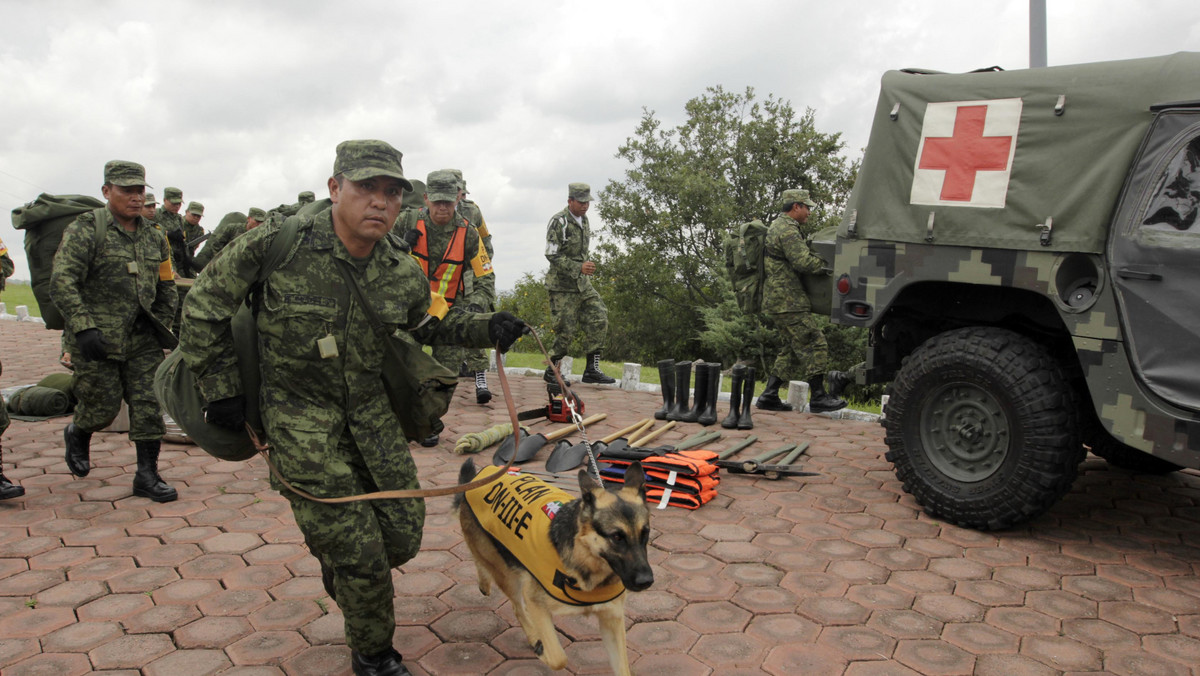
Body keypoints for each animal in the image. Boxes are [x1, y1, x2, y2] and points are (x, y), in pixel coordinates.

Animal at [453, 458, 657, 672]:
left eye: (645, 533)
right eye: (617, 537)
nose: (646, 581)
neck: (584, 560)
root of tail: (478, 478)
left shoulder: (612, 620)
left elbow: (623, 668)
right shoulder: (535, 602)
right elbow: (558, 658)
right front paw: (542, 651)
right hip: (507, 575)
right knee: (513, 602)